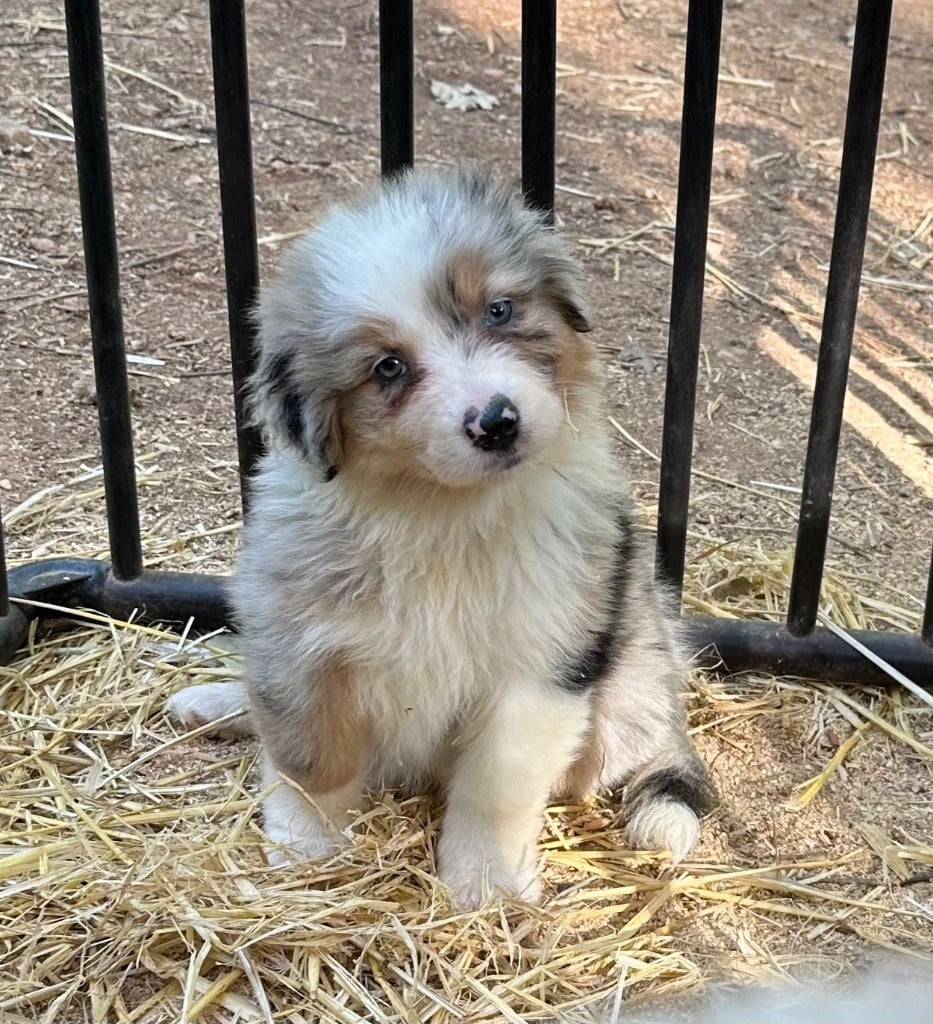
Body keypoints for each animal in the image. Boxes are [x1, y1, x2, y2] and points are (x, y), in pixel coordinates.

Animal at [165, 163, 716, 909]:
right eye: (388, 368)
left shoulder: (542, 661)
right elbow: (308, 754)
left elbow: (496, 783)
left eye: (499, 311)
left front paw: (485, 883)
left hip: (630, 682)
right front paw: (304, 849)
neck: (441, 513)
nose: (497, 422)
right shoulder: (295, 634)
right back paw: (216, 702)